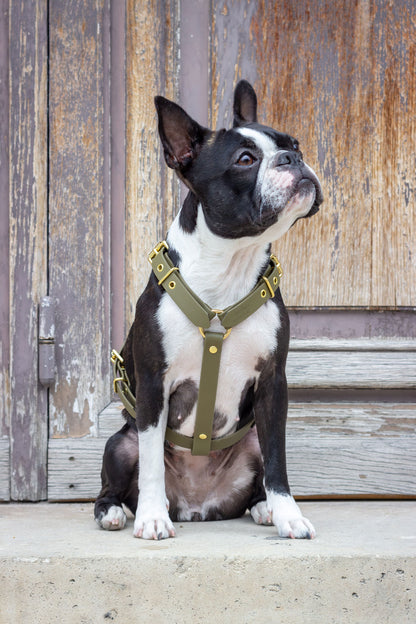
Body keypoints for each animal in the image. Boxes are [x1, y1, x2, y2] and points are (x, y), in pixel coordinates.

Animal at [96, 80, 324, 540]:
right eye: (245, 160)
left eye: (295, 145)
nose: (292, 159)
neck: (228, 269)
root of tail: (197, 506)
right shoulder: (154, 385)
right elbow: (151, 460)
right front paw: (151, 516)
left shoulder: (273, 384)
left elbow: (278, 463)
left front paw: (289, 515)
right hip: (119, 443)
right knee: (114, 480)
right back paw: (115, 511)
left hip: (251, 436)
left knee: (260, 472)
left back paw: (264, 508)